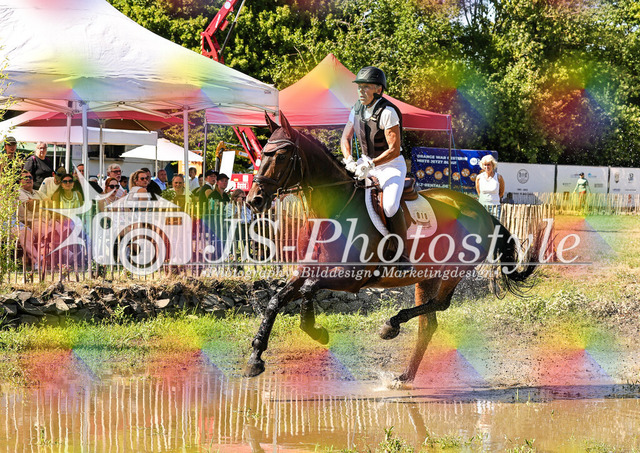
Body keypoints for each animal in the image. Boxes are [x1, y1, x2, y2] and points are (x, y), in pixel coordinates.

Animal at [244, 113, 544, 383]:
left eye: (281, 155)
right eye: (262, 155)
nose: (253, 200)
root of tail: (482, 211)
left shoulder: (352, 278)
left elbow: (308, 290)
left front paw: (316, 331)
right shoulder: (308, 270)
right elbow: (275, 300)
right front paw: (255, 358)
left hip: (453, 271)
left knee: (441, 305)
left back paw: (391, 326)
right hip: (427, 276)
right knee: (429, 324)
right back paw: (405, 375)